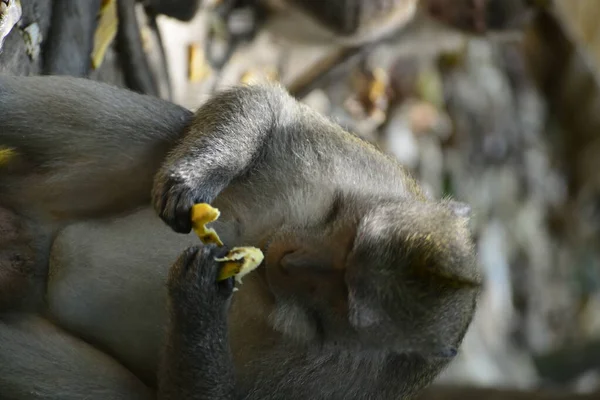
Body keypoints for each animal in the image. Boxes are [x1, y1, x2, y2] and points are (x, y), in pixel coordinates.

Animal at [0, 74, 478, 396]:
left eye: (340, 295)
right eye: (340, 220)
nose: (287, 257)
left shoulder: (349, 387)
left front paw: (200, 299)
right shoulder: (371, 174)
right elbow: (271, 106)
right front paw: (194, 177)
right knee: (160, 130)